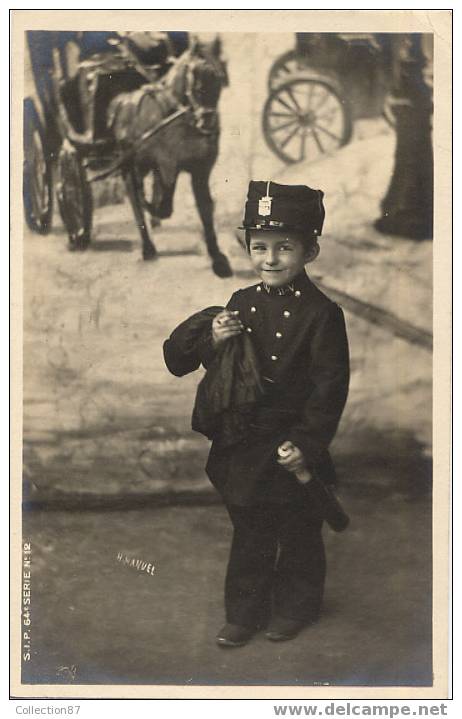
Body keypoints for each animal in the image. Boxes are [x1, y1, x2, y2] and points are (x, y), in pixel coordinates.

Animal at [107, 35, 233, 278]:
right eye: (194, 75)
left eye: (218, 75)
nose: (207, 120)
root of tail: (120, 102)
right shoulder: (167, 164)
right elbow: (164, 206)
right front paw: (153, 209)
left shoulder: (201, 169)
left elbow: (205, 208)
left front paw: (217, 258)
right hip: (131, 164)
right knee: (134, 196)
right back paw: (147, 245)